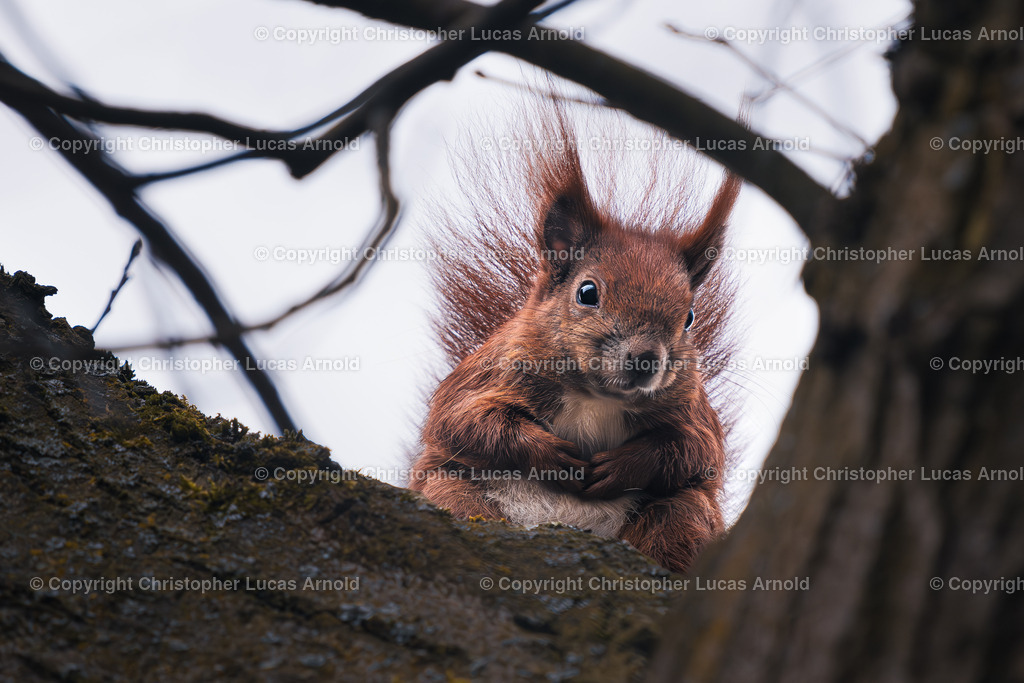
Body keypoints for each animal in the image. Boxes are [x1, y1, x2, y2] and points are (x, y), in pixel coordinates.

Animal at [409, 99, 741, 574]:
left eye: (690, 317)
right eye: (587, 293)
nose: (646, 359)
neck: (595, 396)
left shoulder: (691, 409)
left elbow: (697, 451)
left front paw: (624, 466)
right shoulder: (489, 375)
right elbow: (465, 421)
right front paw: (552, 456)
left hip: (684, 514)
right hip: (448, 490)